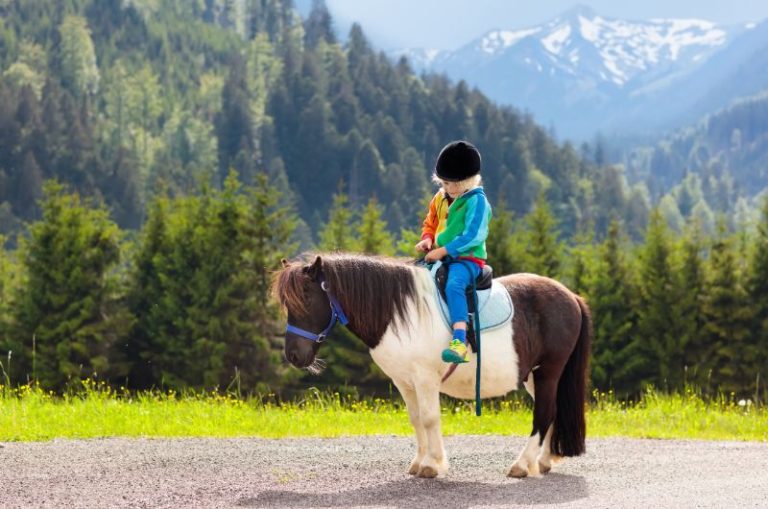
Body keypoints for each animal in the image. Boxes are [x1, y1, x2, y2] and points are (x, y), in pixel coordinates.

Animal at [272, 252, 592, 479]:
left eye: (306, 299)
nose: (294, 355)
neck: (397, 311)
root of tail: (572, 297)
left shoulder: (425, 378)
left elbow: (429, 418)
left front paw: (432, 465)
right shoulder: (404, 381)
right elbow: (416, 419)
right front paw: (419, 462)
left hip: (548, 371)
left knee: (544, 413)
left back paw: (523, 465)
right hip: (533, 377)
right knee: (552, 411)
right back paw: (543, 460)